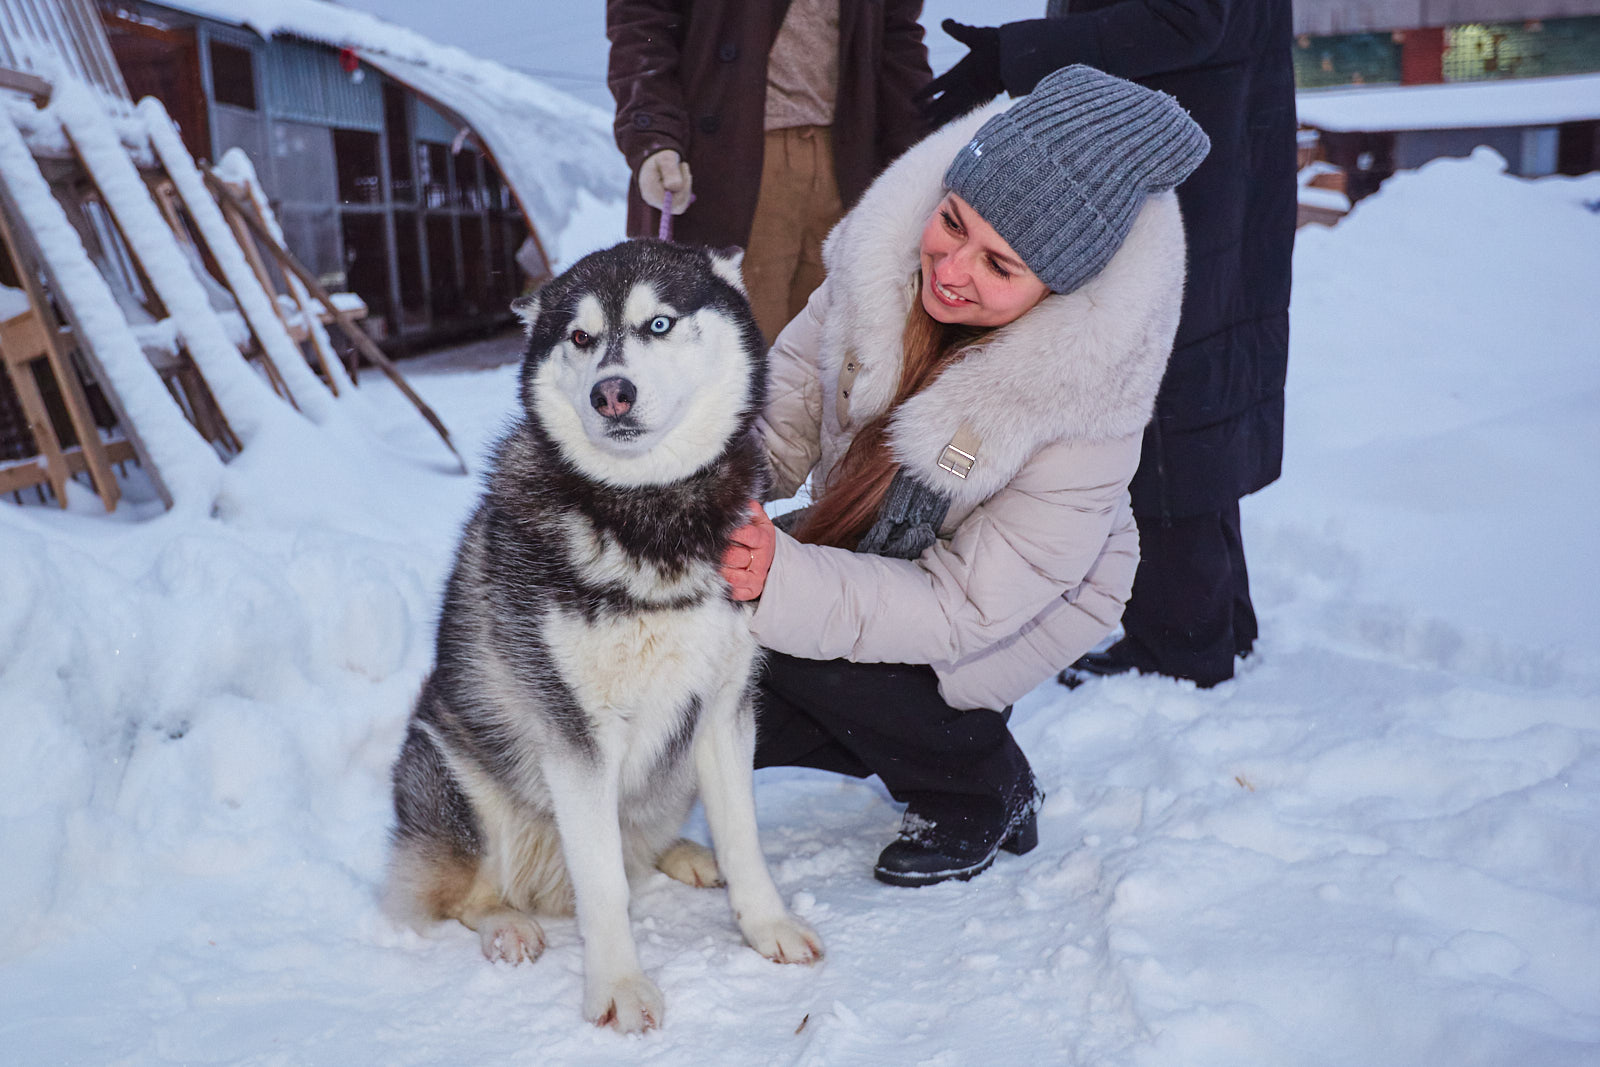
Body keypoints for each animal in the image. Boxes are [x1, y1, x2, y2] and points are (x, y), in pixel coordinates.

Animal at [380, 241, 819, 1036]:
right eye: (580, 338)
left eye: (658, 323)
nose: (611, 393)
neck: (650, 513)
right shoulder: (577, 738)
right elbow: (605, 883)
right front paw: (617, 986)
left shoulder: (724, 710)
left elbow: (744, 839)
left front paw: (766, 925)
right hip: (452, 777)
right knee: (467, 894)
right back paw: (508, 925)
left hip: (673, 778)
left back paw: (687, 853)